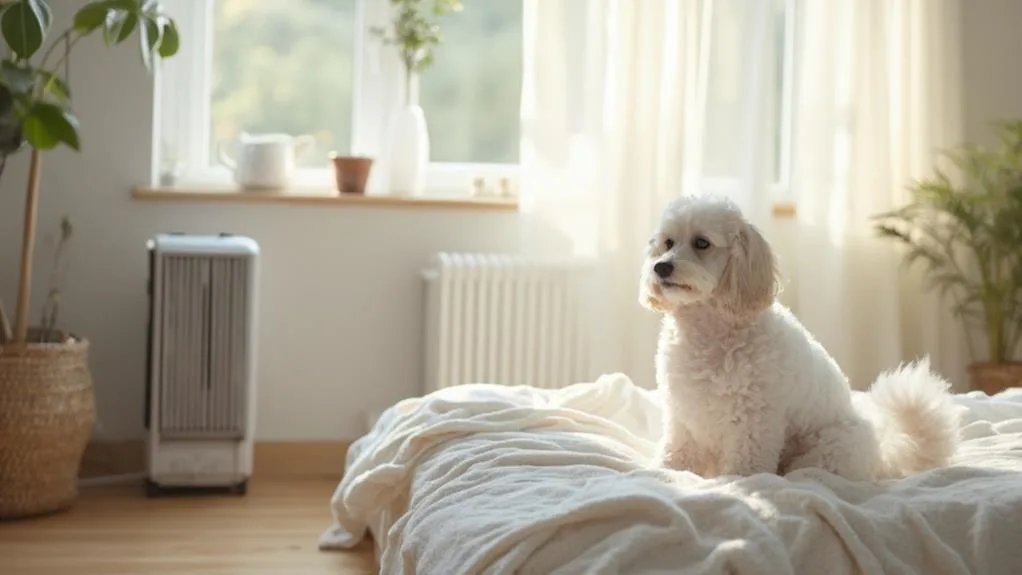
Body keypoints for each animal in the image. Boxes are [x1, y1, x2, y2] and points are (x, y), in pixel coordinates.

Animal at [641, 193, 960, 482]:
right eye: (667, 243)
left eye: (702, 243)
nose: (661, 267)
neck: (707, 327)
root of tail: (882, 461)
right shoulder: (682, 417)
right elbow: (676, 455)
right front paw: (667, 472)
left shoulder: (753, 421)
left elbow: (745, 469)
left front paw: (736, 482)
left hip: (828, 451)